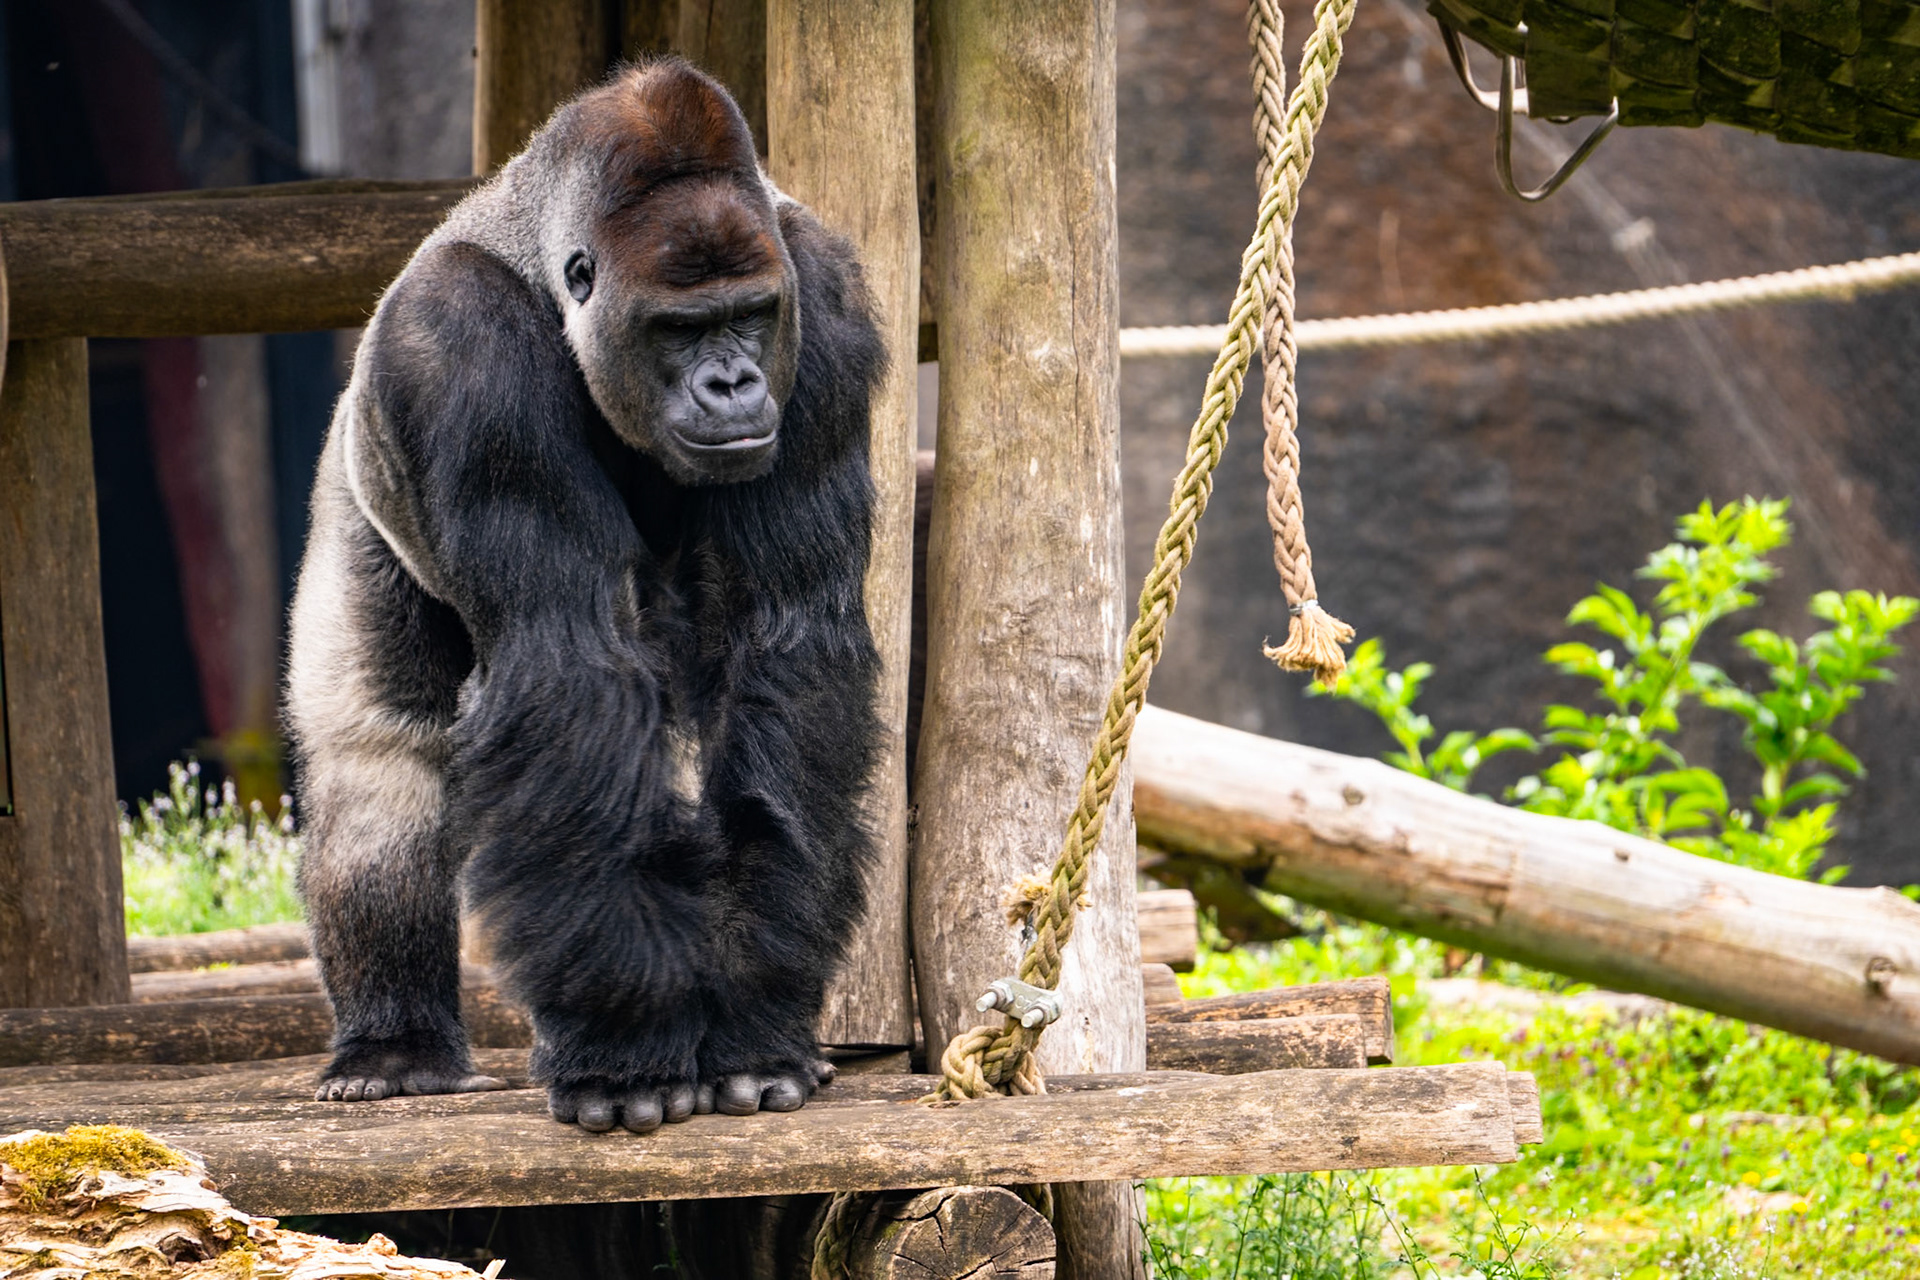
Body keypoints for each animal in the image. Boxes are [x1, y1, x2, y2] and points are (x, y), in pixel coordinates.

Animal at [285, 59, 886, 1135]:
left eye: (749, 315)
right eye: (680, 329)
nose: (734, 383)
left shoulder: (822, 304)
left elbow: (789, 645)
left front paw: (756, 1012)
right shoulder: (457, 343)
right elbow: (569, 665)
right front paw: (625, 1044)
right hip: (356, 488)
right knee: (378, 759)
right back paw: (395, 1045)